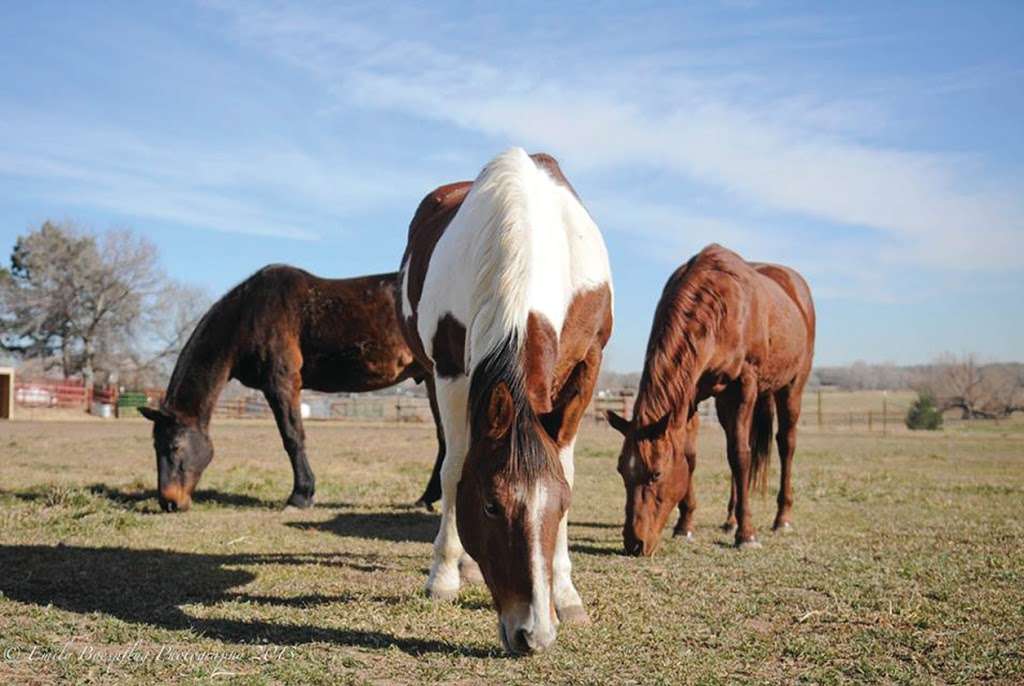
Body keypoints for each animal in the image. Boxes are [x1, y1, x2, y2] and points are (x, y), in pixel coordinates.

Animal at [139, 268, 444, 516]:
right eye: (155, 447)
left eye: (175, 446)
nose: (169, 502)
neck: (249, 315)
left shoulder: (282, 384)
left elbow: (293, 437)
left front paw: (300, 496)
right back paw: (427, 498)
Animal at [397, 149, 606, 655]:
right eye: (491, 505)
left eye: (562, 506)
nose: (534, 634)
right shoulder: (450, 369)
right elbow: (455, 469)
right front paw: (444, 575)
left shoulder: (588, 362)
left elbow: (565, 465)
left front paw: (565, 594)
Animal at [606, 244, 815, 556]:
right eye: (621, 470)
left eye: (656, 474)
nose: (634, 543)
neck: (722, 306)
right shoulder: (692, 393)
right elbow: (691, 455)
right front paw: (685, 525)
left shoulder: (745, 384)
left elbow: (741, 455)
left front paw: (747, 534)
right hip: (724, 402)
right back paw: (730, 520)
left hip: (791, 387)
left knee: (785, 444)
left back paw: (781, 519)